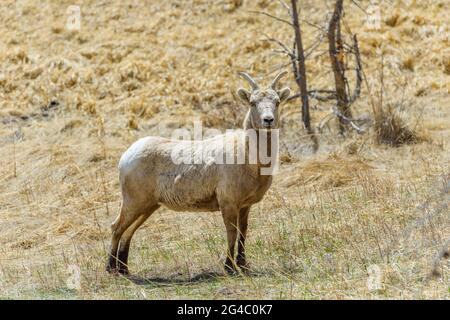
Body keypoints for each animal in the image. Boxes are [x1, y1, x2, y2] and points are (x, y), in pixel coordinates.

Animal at [108, 71, 292, 274]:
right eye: (252, 102)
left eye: (277, 102)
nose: (268, 120)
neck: (250, 158)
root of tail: (126, 156)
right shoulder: (228, 202)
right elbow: (231, 232)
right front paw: (229, 268)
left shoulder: (245, 205)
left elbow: (243, 232)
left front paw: (243, 265)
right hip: (133, 201)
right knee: (116, 227)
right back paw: (111, 269)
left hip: (148, 205)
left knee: (128, 231)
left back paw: (124, 270)